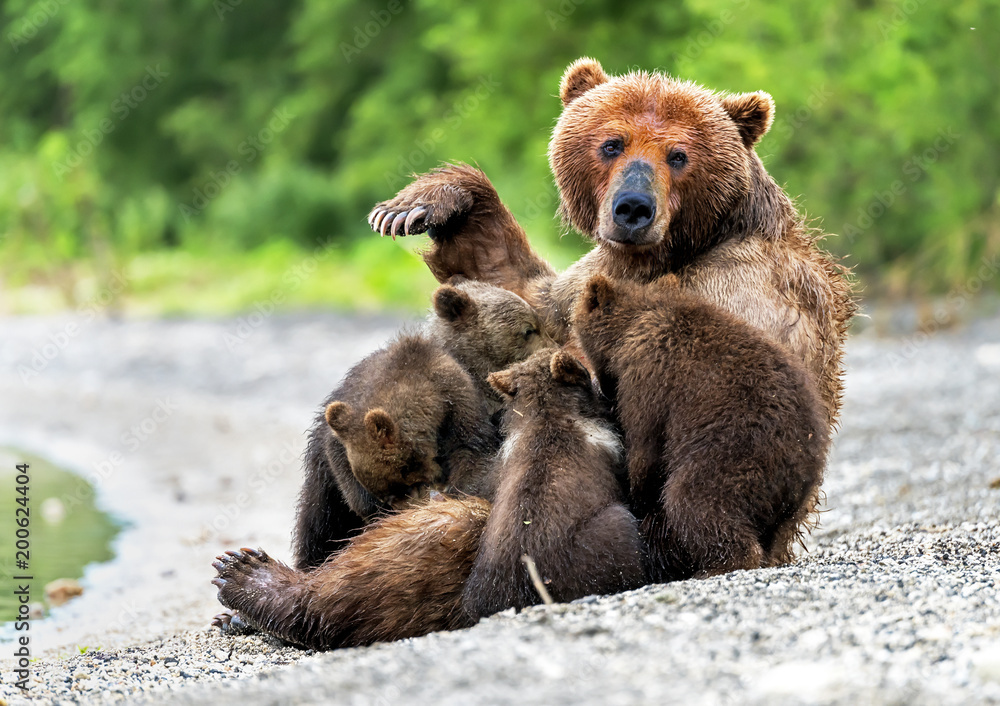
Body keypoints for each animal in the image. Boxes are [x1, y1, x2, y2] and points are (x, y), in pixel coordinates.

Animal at [291, 333, 497, 571]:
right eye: (386, 497)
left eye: (402, 487)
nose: (401, 512)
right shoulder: (345, 423)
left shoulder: (458, 401)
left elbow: (471, 451)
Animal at [462, 349, 645, 619]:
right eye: (585, 371)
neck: (547, 415)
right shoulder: (610, 449)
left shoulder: (501, 465)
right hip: (598, 541)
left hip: (483, 577)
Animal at [574, 273, 829, 581]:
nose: (604, 389)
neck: (630, 328)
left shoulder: (648, 373)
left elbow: (645, 443)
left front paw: (637, 491)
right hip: (791, 497)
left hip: (735, 454)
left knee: (693, 500)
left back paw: (714, 565)